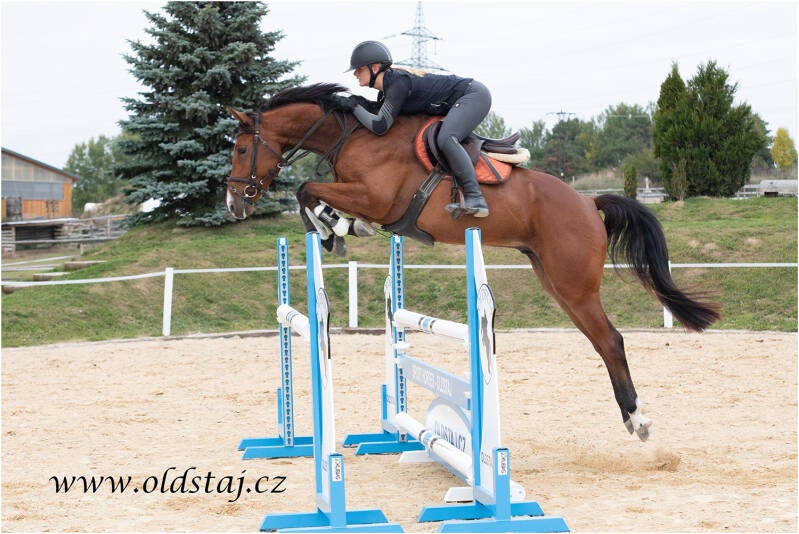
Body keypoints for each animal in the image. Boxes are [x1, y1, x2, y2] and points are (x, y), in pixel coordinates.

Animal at [226, 83, 720, 442]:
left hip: (574, 284)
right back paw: (631, 417)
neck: (358, 136)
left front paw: (336, 230)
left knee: (612, 340)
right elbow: (309, 192)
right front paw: (335, 228)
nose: (234, 204)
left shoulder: (376, 198)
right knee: (601, 342)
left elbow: (306, 188)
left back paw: (639, 420)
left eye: (240, 149)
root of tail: (587, 200)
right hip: (556, 282)